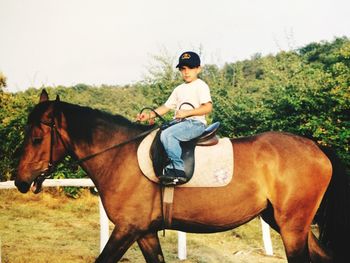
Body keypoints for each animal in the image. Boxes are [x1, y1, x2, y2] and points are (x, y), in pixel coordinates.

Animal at [14, 90, 350, 262]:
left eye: (36, 138)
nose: (19, 180)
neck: (119, 155)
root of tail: (315, 146)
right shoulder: (144, 232)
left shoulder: (126, 230)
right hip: (286, 223)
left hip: (292, 227)